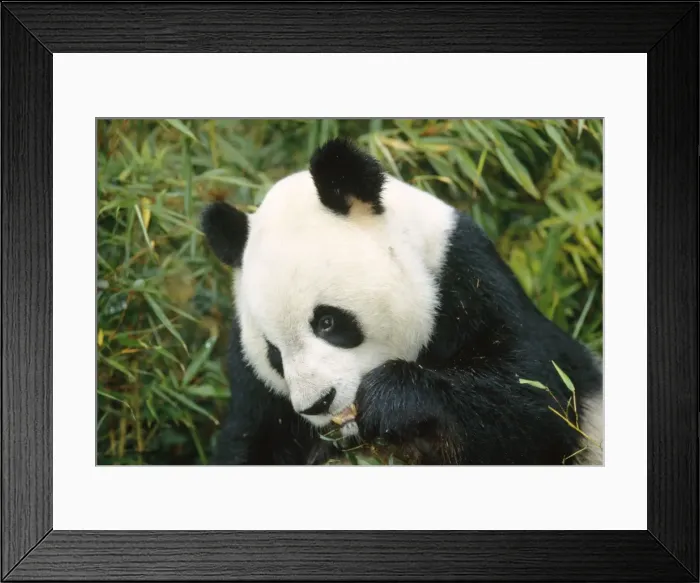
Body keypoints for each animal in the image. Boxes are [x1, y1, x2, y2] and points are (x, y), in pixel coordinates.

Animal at [201, 137, 604, 466]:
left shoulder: (469, 282)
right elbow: (251, 441)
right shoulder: (259, 394)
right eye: (273, 352)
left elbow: (537, 401)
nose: (318, 403)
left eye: (327, 322)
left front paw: (390, 398)